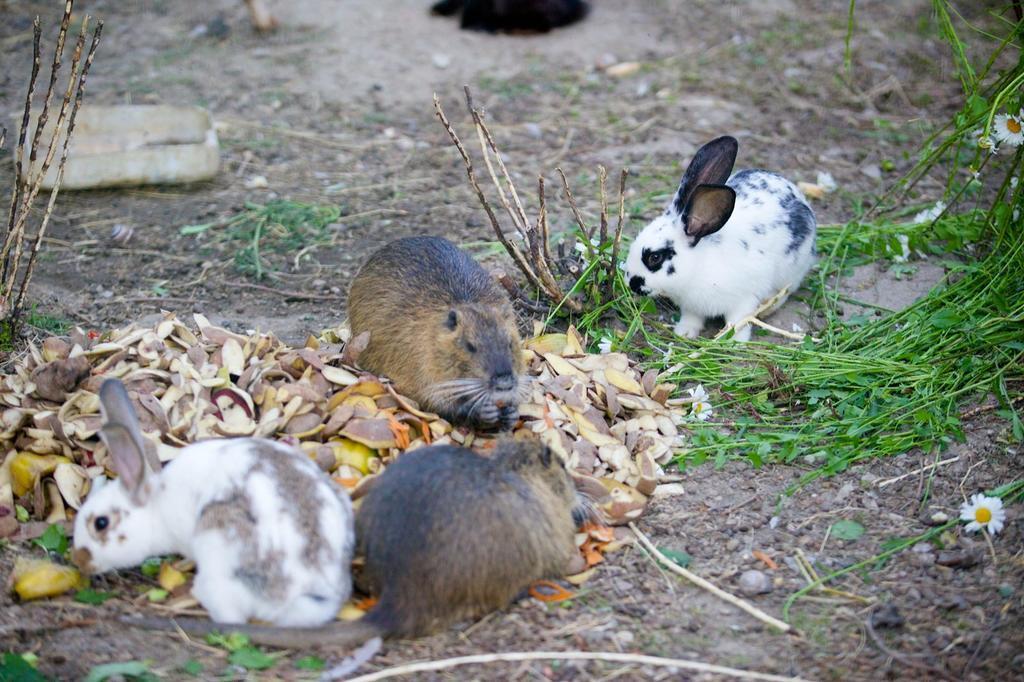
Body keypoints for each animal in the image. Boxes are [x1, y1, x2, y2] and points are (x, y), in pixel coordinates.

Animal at [623, 136, 816, 342]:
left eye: (655, 257)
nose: (631, 283)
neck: (698, 266)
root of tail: (797, 192)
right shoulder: (692, 307)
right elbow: (692, 319)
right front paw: (685, 333)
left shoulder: (743, 301)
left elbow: (738, 322)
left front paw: (735, 341)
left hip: (792, 271)